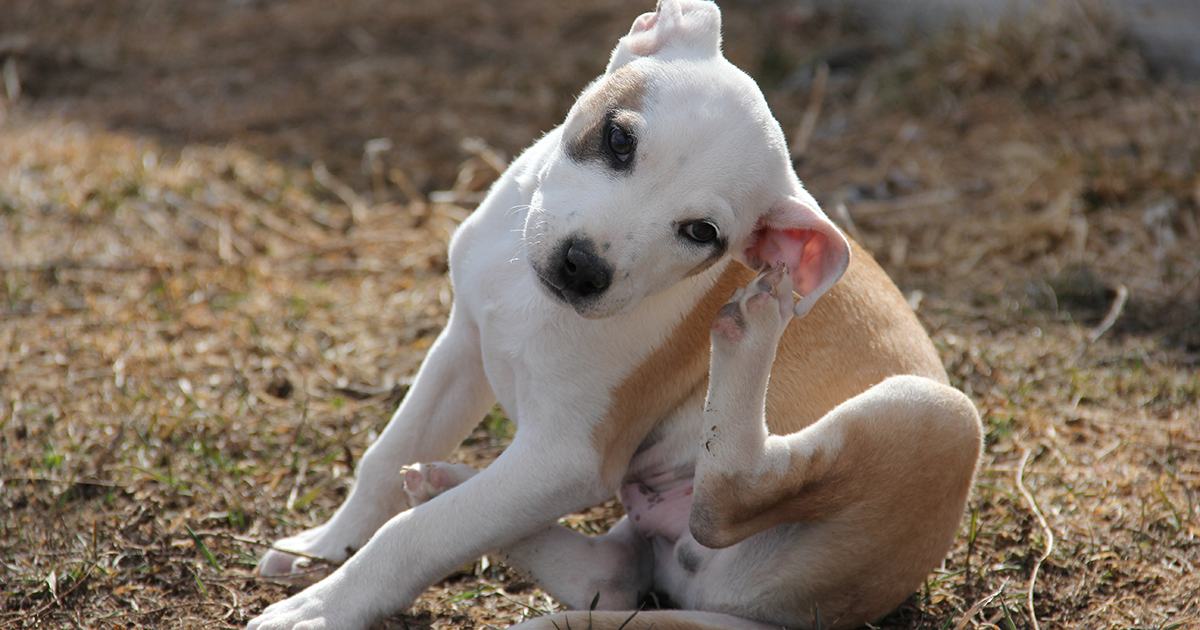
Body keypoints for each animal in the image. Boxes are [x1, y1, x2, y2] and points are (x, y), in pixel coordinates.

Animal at [248, 2, 979, 624]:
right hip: (646, 538)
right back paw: (441, 480)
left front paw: (325, 607)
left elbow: (419, 536)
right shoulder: (464, 343)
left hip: (939, 415)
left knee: (728, 498)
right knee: (615, 576)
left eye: (702, 233)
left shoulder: (566, 457)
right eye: (619, 140)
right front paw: (324, 547)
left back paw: (752, 329)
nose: (582, 266)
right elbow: (388, 454)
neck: (532, 298)